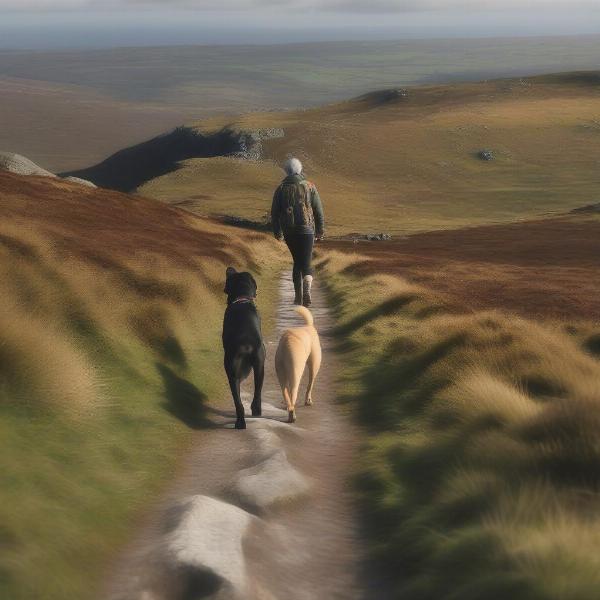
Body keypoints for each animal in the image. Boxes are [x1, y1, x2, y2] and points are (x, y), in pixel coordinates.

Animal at [223, 266, 264, 426]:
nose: (230, 268)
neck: (242, 298)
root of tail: (246, 344)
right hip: (259, 366)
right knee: (256, 393)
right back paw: (253, 413)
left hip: (230, 369)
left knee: (238, 401)